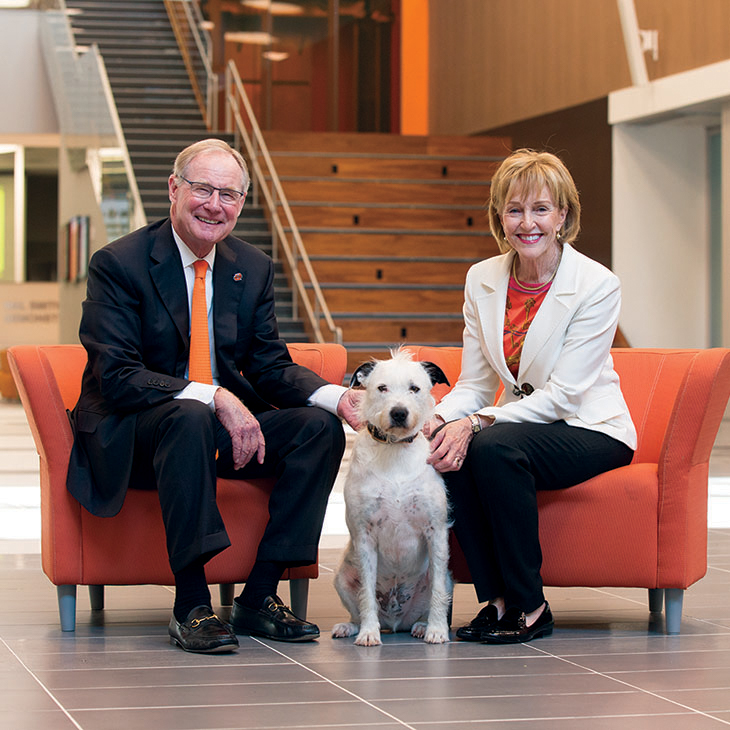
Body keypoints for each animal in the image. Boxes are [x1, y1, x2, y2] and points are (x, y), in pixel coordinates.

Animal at [332, 348, 452, 644]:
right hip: (342, 577)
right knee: (359, 605)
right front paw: (368, 633)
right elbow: (365, 595)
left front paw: (437, 630)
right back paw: (351, 627)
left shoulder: (436, 533)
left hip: (443, 574)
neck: (395, 449)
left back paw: (421, 626)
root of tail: (396, 622)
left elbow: (438, 594)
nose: (399, 412)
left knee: (431, 597)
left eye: (414, 388)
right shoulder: (364, 536)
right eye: (382, 388)